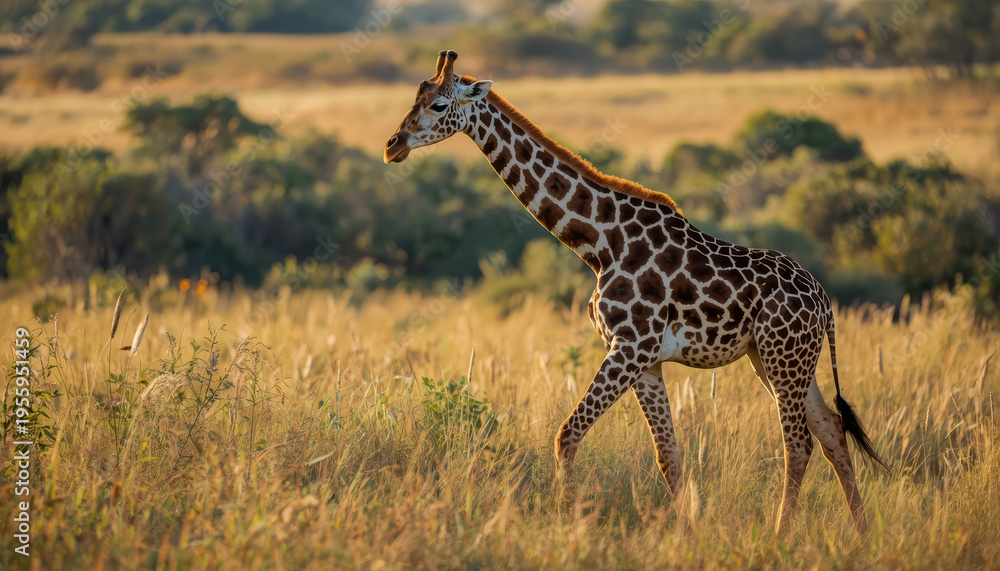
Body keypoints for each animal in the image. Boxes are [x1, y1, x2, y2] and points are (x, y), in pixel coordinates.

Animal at [384, 50, 887, 535]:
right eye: (415, 96)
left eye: (439, 105)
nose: (393, 146)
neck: (600, 242)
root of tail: (823, 301)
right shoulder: (644, 360)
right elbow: (669, 457)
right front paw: (686, 535)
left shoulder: (630, 347)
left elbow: (566, 435)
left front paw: (568, 524)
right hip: (776, 357)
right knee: (831, 430)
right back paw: (862, 534)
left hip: (784, 357)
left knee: (798, 443)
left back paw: (782, 536)